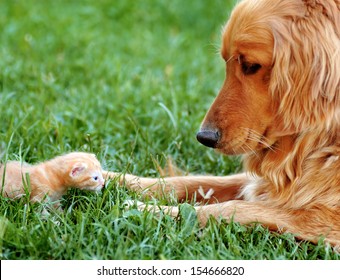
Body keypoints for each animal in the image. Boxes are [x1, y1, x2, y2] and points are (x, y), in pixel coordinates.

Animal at [105, 0, 338, 246]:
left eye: (250, 65)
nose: (204, 137)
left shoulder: (326, 218)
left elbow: (230, 208)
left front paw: (148, 211)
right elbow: (191, 181)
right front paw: (112, 179)